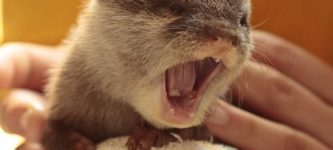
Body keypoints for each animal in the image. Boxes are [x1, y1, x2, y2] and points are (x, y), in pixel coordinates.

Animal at [40, 0, 252, 149]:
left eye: (242, 21)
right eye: (175, 7)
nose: (225, 34)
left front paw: (152, 134)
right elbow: (49, 130)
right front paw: (74, 143)